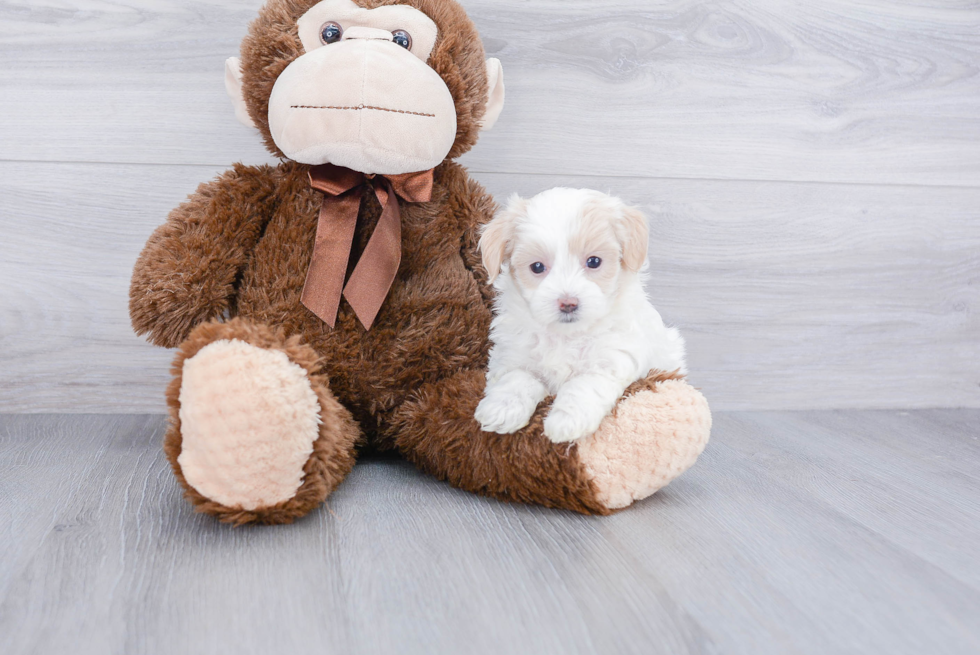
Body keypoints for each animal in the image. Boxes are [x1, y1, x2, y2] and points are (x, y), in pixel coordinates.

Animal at [472, 190, 684, 446]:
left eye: (594, 261)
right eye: (537, 267)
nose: (568, 303)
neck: (566, 335)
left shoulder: (612, 358)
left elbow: (584, 384)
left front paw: (566, 421)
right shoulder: (511, 356)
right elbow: (517, 378)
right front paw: (501, 408)